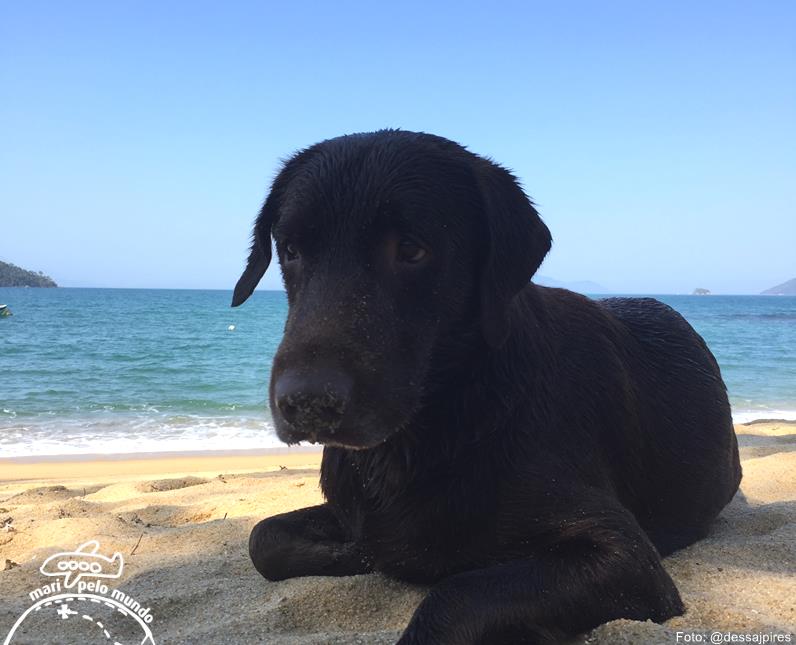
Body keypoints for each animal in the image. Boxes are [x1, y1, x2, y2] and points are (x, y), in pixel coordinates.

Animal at [232, 130, 741, 644]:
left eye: (412, 249)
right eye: (291, 249)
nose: (306, 403)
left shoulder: (630, 559)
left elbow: (455, 595)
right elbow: (264, 538)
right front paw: (356, 554)